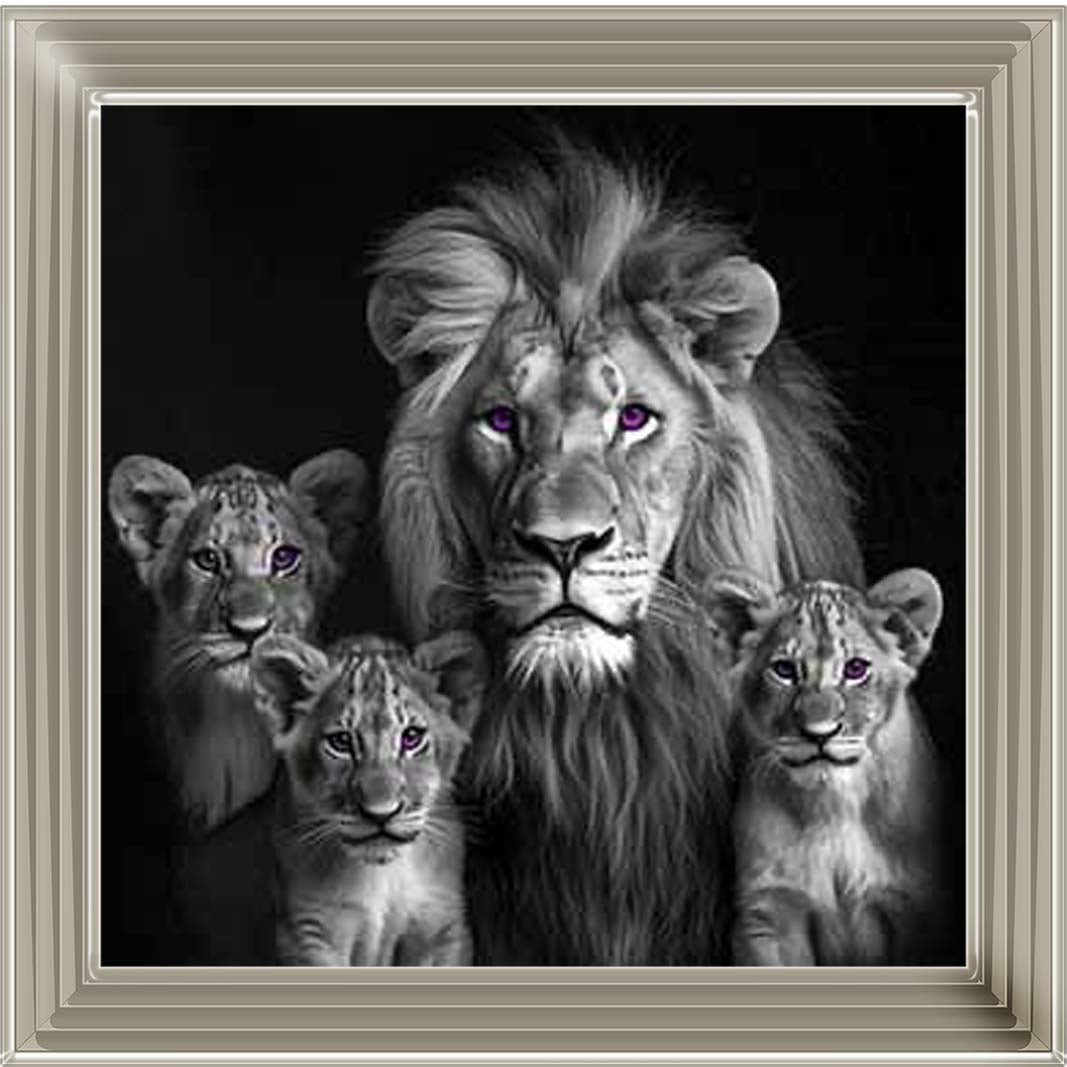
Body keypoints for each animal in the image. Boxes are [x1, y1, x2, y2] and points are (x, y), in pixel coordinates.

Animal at [250, 631, 485, 966]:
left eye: (411, 737)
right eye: (340, 742)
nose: (381, 814)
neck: (382, 875)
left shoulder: (442, 928)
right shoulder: (308, 934)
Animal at [704, 568, 945, 965]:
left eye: (856, 669)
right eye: (784, 670)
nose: (820, 733)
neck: (833, 805)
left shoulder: (916, 908)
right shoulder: (769, 912)